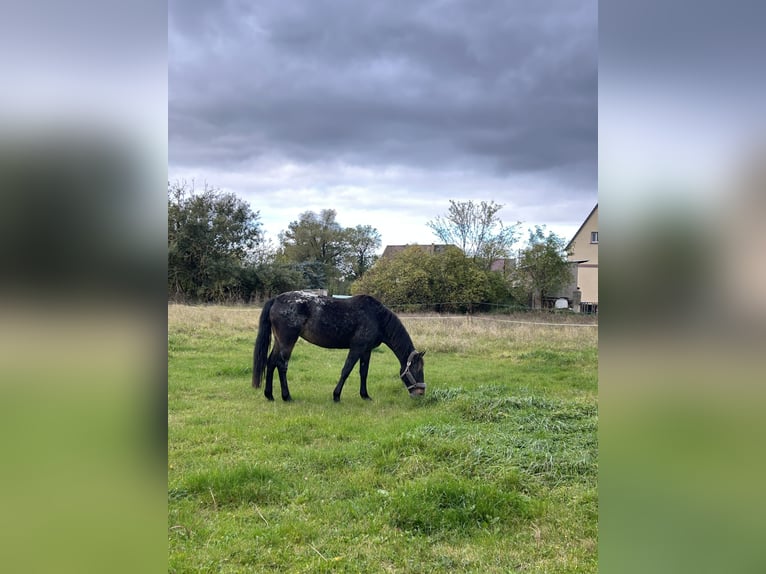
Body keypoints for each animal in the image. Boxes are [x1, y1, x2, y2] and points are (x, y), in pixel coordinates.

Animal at [252, 291, 426, 402]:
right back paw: (286, 396)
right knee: (281, 365)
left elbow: (364, 372)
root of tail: (276, 299)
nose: (420, 393)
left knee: (271, 362)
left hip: (279, 341)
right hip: (287, 341)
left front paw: (365, 395)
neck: (377, 317)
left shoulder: (366, 350)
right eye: (417, 370)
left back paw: (269, 395)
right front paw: (336, 396)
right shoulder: (357, 348)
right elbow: (346, 370)